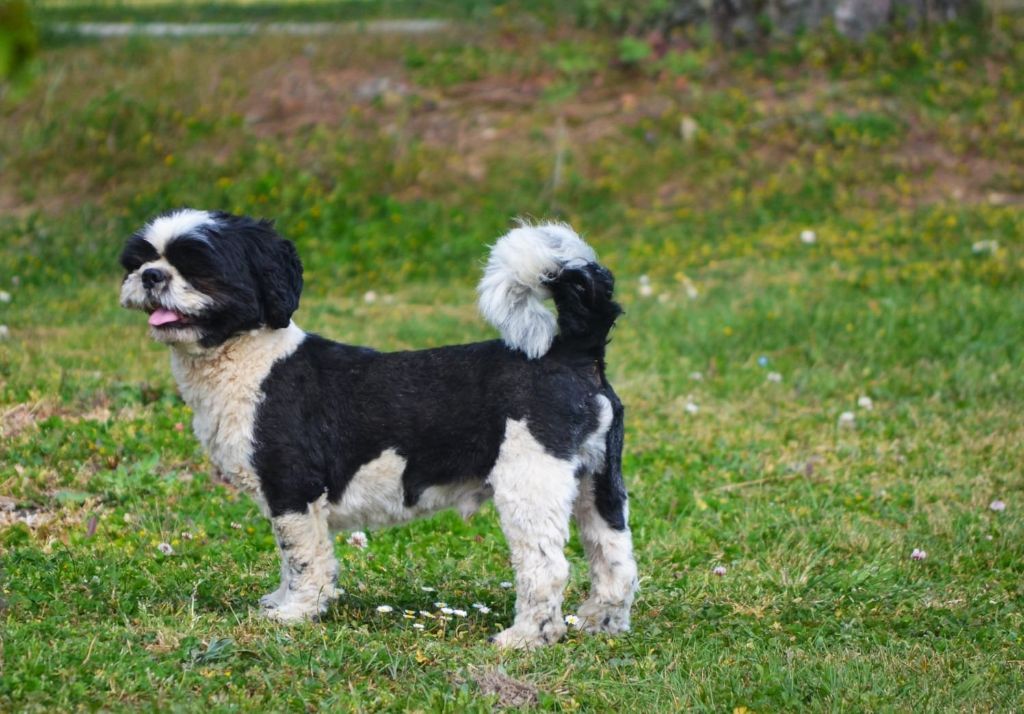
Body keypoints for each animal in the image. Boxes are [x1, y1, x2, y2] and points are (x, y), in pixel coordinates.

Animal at [119, 209, 638, 648]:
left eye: (198, 266)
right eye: (141, 259)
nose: (151, 276)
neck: (251, 361)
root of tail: (572, 349)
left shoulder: (292, 488)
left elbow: (304, 560)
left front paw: (295, 613)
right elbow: (289, 560)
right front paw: (281, 601)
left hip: (530, 483)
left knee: (546, 568)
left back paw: (528, 637)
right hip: (599, 484)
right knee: (616, 559)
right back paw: (601, 622)